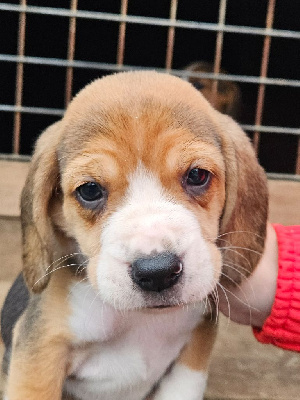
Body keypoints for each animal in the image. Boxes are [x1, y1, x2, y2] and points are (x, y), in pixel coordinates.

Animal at [0, 70, 268, 398]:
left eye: (197, 175)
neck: (139, 321)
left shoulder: (194, 346)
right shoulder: (39, 354)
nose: (158, 272)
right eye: (90, 190)